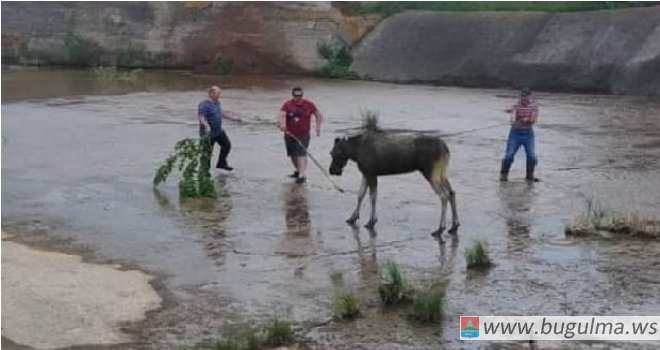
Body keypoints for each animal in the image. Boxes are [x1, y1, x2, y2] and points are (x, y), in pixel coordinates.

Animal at [328, 132, 458, 238]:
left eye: (333, 153)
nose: (331, 170)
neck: (354, 152)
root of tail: (446, 150)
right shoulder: (366, 173)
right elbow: (360, 195)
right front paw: (353, 217)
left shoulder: (371, 173)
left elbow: (372, 197)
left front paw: (371, 221)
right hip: (442, 173)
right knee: (452, 192)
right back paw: (454, 226)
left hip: (431, 173)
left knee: (444, 196)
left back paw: (440, 228)